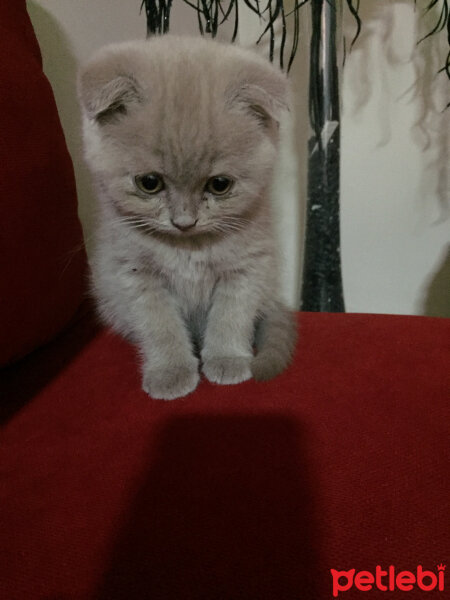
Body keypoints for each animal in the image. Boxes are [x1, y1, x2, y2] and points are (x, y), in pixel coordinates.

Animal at [79, 35, 298, 400]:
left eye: (219, 185)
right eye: (149, 183)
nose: (184, 221)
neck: (188, 248)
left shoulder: (248, 267)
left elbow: (231, 315)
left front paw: (227, 359)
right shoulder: (134, 274)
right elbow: (160, 326)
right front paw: (171, 371)